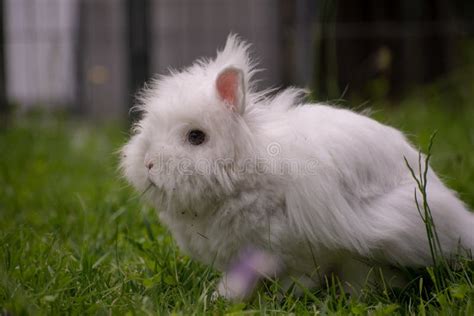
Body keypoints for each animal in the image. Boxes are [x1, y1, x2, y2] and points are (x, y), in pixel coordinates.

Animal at [120, 33, 472, 300]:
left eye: (196, 137)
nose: (148, 164)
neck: (247, 173)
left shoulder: (299, 250)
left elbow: (302, 276)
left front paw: (284, 298)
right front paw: (223, 296)